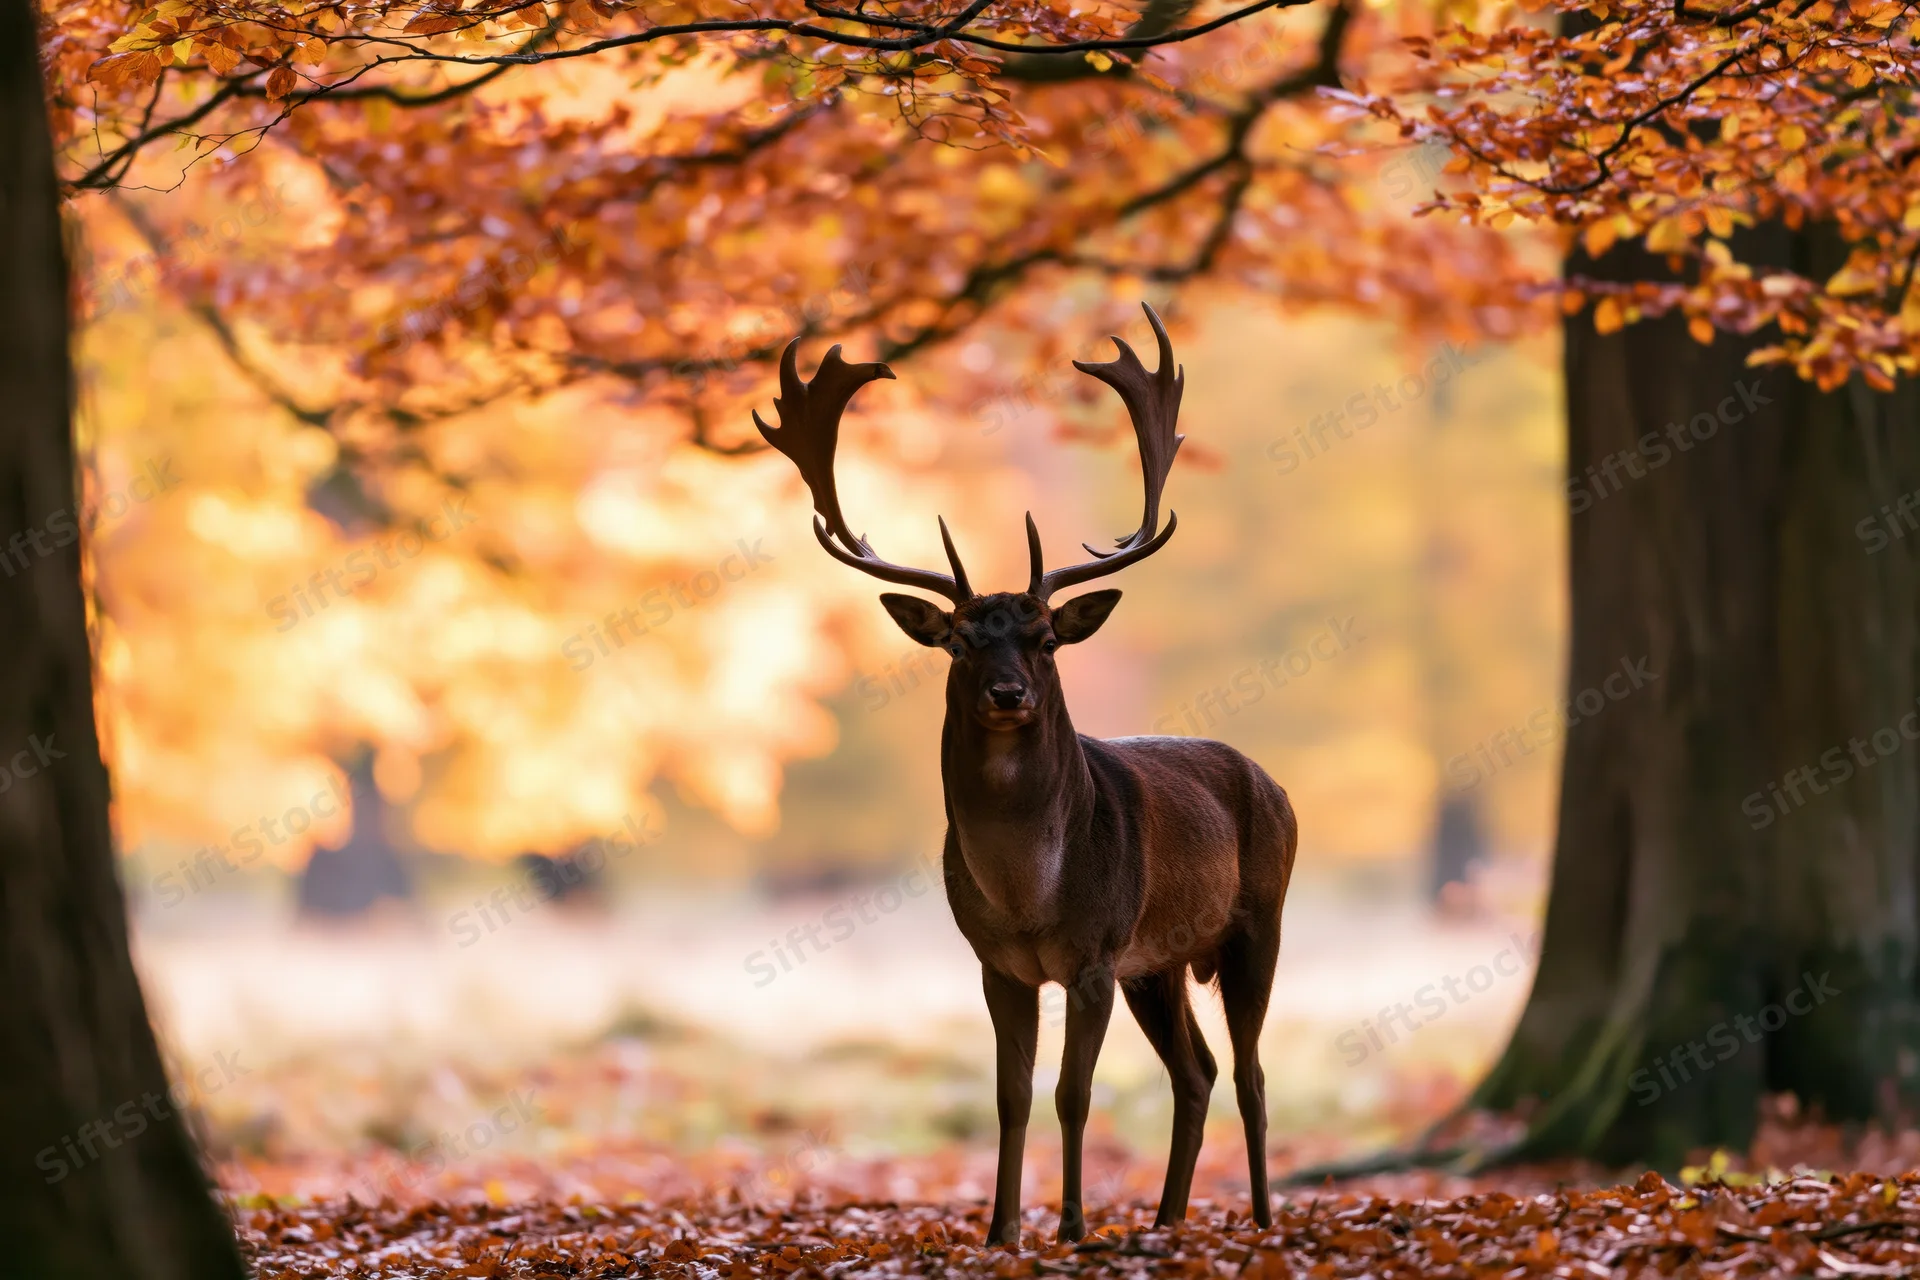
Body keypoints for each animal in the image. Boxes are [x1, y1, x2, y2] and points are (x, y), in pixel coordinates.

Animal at [753, 303, 1297, 1246]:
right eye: (961, 640)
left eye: (1044, 637)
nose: (1008, 692)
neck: (1028, 894)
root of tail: (1277, 785)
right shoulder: (997, 962)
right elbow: (1010, 1097)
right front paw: (1001, 1230)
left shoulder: (1094, 952)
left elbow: (1074, 1094)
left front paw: (1072, 1225)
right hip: (1159, 964)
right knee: (1196, 1073)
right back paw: (1164, 1221)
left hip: (1255, 919)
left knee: (1252, 1076)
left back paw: (1260, 1222)